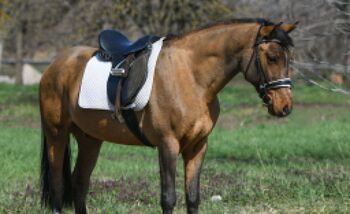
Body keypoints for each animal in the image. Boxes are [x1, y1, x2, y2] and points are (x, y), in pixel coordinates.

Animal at [39, 18, 298, 214]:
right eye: (272, 57)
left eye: (289, 58)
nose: (284, 106)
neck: (192, 76)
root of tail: (55, 65)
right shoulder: (168, 144)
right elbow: (168, 198)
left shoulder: (197, 146)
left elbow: (192, 197)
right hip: (56, 135)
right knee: (58, 184)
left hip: (90, 139)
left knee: (79, 183)